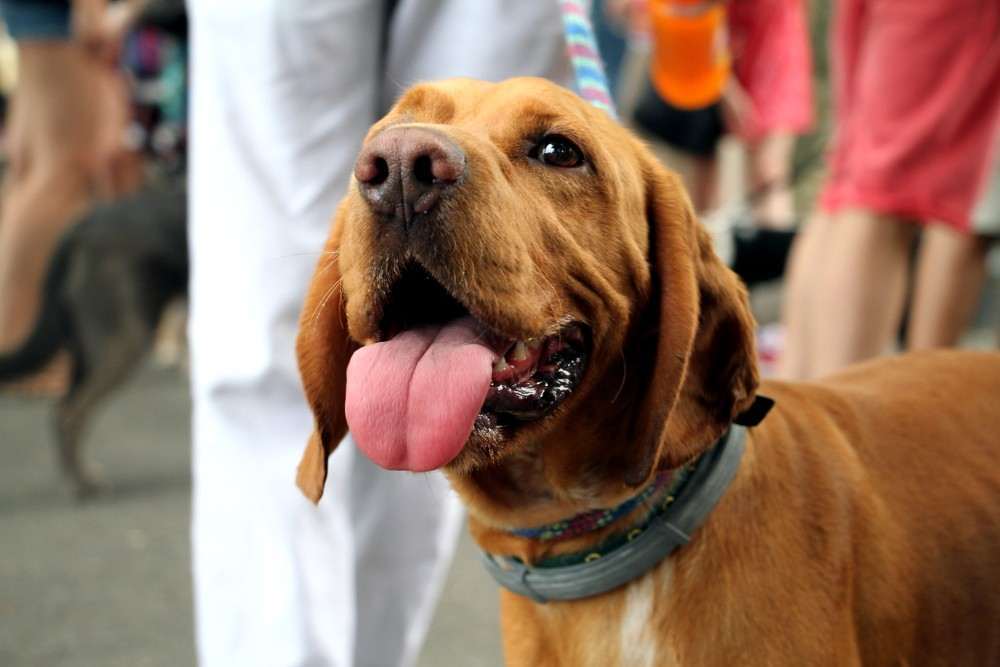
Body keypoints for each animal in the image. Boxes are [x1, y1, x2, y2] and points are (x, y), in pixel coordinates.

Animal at [0, 177, 187, 498]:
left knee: (63, 409)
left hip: (89, 349)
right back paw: (83, 484)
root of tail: (82, 226)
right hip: (122, 343)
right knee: (70, 412)